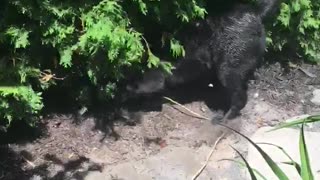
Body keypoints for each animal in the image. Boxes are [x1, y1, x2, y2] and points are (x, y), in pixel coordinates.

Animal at [124, 0, 278, 121]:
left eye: (136, 82)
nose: (125, 88)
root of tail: (255, 12)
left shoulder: (192, 62)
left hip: (228, 67)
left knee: (239, 96)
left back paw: (225, 118)